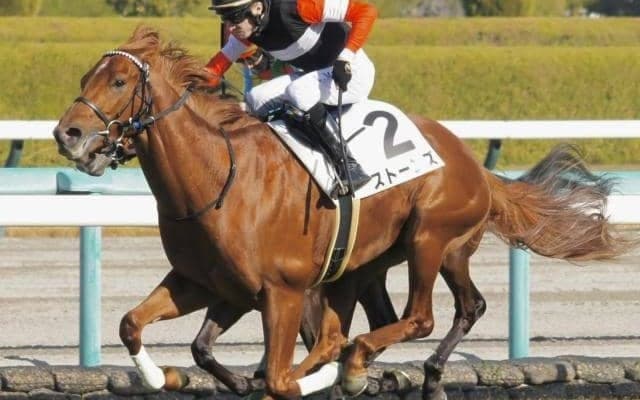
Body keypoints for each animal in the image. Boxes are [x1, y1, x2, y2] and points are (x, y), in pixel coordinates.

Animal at [53, 26, 633, 399]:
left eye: (120, 82)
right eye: (84, 77)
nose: (68, 134)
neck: (217, 179)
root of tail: (471, 160)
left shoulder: (282, 291)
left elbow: (279, 375)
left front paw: (309, 375)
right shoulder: (210, 283)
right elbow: (144, 328)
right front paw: (166, 378)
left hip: (429, 238)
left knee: (417, 318)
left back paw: (359, 368)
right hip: (377, 263)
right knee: (444, 311)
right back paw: (412, 375)